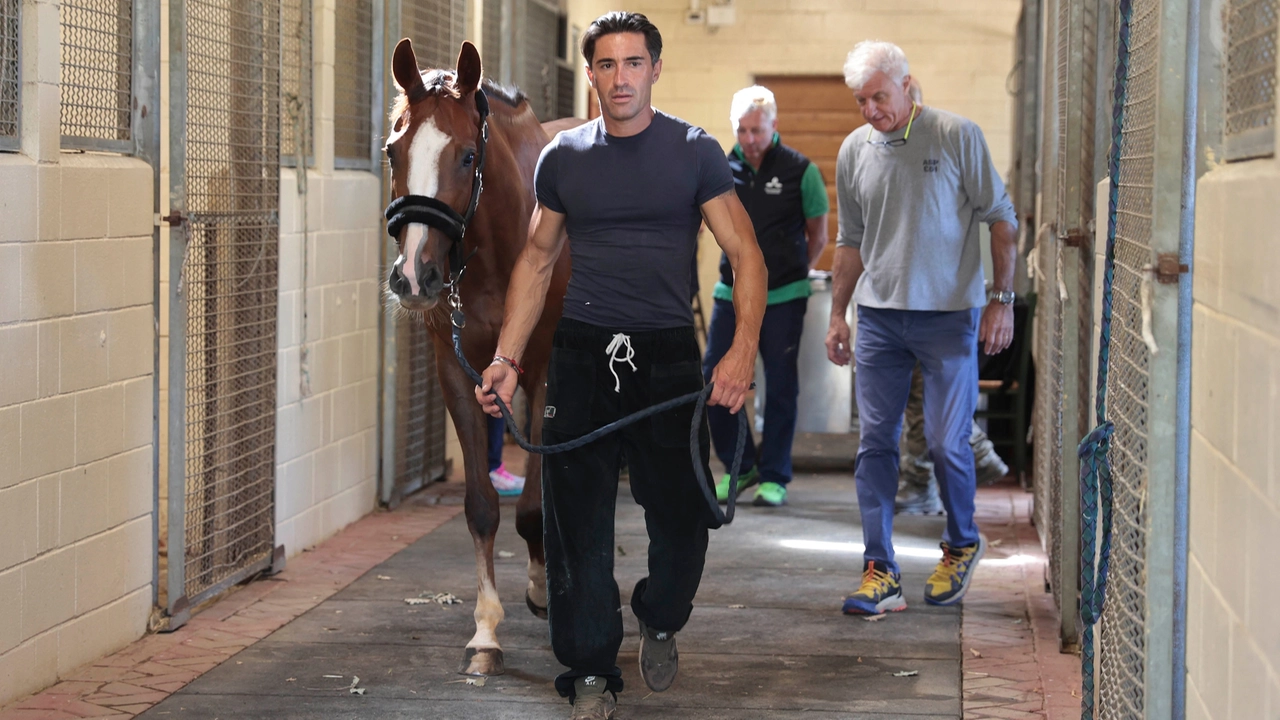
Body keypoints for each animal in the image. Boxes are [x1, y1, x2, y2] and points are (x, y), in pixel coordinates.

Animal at [381, 36, 578, 671]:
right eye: (393, 151)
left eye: (468, 157)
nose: (413, 276)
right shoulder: (457, 372)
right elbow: (481, 506)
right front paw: (486, 630)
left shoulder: (542, 372)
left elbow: (535, 506)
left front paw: (542, 591)